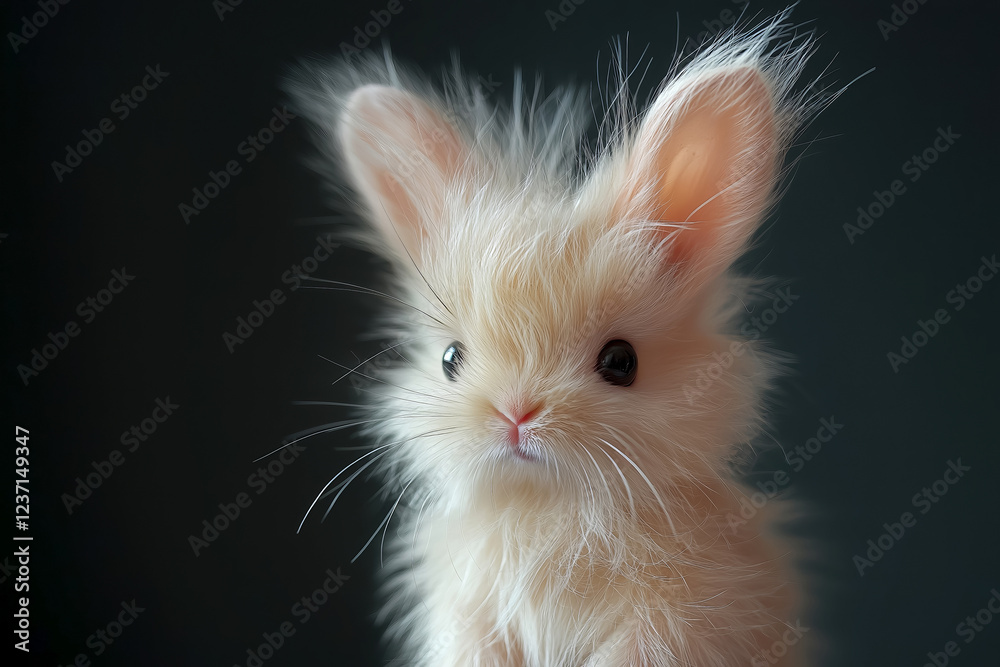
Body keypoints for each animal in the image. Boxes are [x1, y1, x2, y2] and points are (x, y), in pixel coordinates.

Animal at [289, 8, 828, 666]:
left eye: (621, 361)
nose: (515, 415)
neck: (546, 505)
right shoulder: (470, 618)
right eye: (450, 359)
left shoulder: (664, 628)